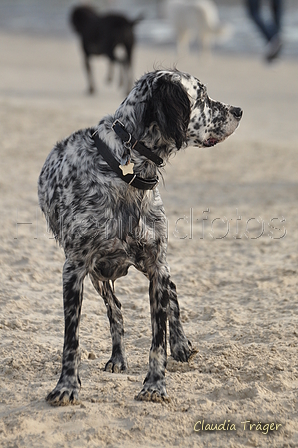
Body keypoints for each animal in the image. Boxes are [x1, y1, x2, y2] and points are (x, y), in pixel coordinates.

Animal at [37, 68, 242, 404]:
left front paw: (155, 384)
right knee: (116, 312)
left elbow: (158, 337)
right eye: (202, 96)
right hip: (99, 277)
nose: (239, 111)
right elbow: (72, 340)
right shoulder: (75, 270)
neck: (127, 171)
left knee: (173, 298)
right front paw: (66, 385)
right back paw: (117, 358)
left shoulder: (157, 267)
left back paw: (181, 344)